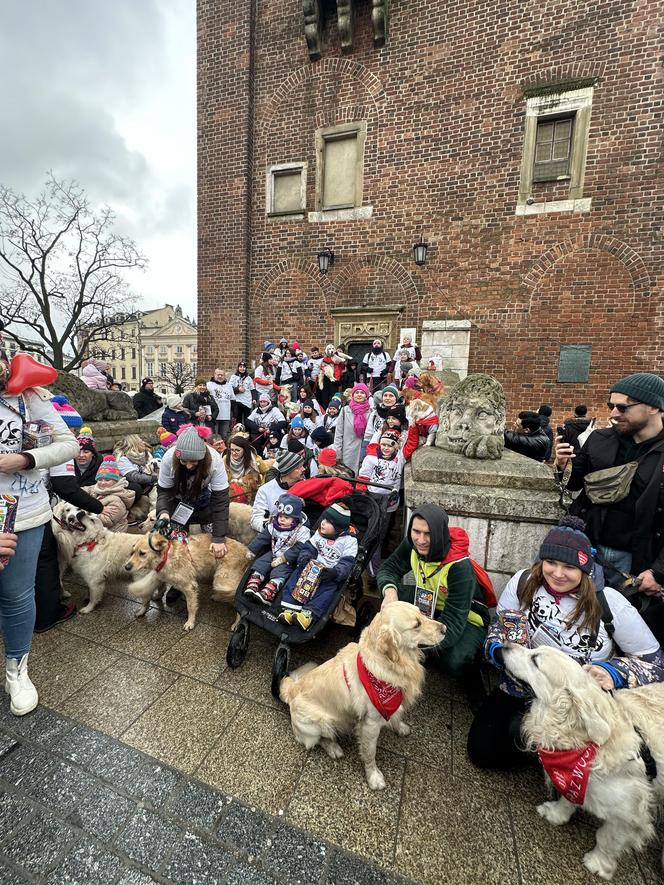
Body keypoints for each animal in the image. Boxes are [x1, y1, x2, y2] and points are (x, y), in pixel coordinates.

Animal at [278, 600, 444, 788]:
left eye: (422, 613)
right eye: (416, 625)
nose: (445, 628)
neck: (393, 664)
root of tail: (291, 690)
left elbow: (396, 716)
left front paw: (400, 728)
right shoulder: (370, 723)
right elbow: (370, 753)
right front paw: (374, 777)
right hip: (319, 723)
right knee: (319, 739)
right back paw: (333, 748)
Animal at [504, 644, 664, 876]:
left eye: (535, 659)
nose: (505, 645)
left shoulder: (630, 815)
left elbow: (608, 839)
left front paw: (598, 863)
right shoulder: (575, 778)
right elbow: (568, 798)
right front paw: (556, 814)